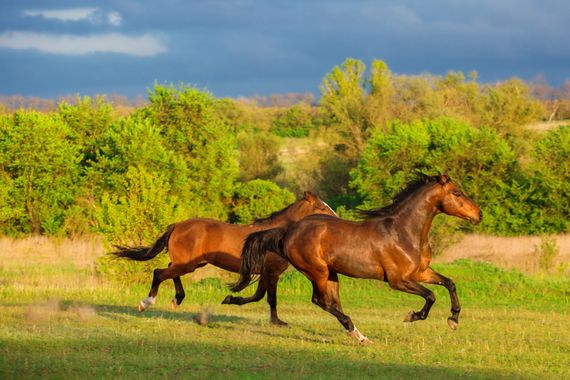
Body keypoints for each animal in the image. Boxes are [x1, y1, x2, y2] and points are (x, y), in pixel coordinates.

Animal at [111, 191, 336, 326]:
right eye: (321, 207)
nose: (335, 219)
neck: (274, 234)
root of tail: (177, 225)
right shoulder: (272, 272)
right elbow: (270, 298)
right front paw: (277, 322)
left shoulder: (265, 273)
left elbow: (258, 296)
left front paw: (230, 299)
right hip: (187, 264)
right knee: (159, 272)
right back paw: (146, 303)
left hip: (190, 264)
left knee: (169, 271)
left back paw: (177, 299)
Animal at [231, 174, 480, 342]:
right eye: (457, 193)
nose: (479, 214)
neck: (404, 232)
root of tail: (288, 231)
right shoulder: (398, 281)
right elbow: (430, 295)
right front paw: (412, 316)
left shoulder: (420, 272)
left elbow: (449, 283)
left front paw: (453, 320)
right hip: (317, 272)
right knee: (321, 301)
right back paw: (357, 333)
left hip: (331, 274)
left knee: (331, 303)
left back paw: (358, 334)